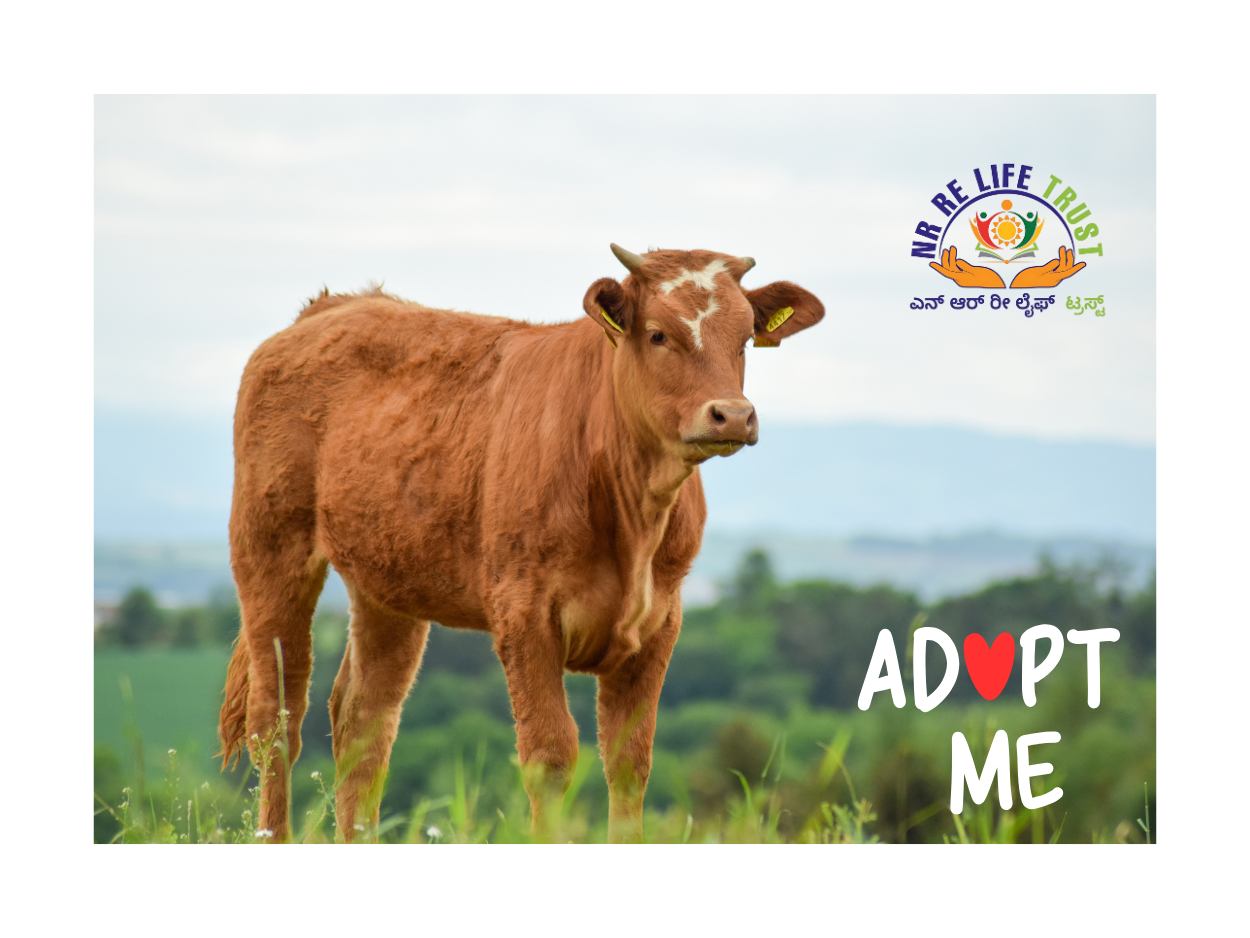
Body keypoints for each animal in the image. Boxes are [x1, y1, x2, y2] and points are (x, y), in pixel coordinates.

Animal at [218, 244, 824, 842]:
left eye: (745, 339)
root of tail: (336, 305)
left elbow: (630, 761)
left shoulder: (660, 621)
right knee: (277, 720)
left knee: (362, 722)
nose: (733, 414)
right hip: (270, 549)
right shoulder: (524, 611)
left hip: (388, 585)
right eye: (657, 334)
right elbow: (549, 756)